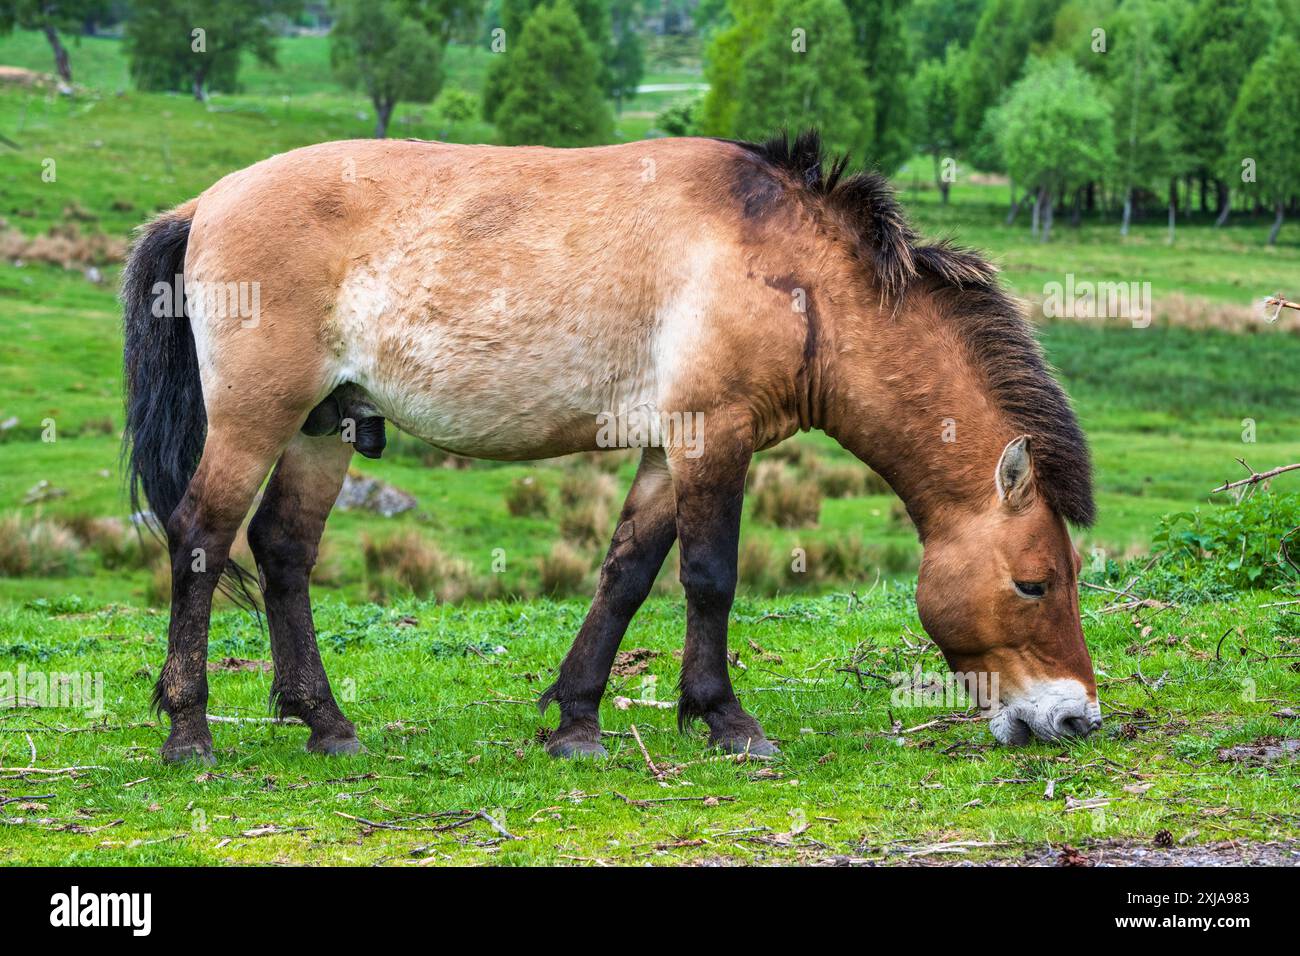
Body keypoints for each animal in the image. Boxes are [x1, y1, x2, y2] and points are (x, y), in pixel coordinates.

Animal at [121, 130, 1100, 764]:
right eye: (1032, 583)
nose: (1076, 718)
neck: (798, 276)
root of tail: (205, 205)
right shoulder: (714, 436)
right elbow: (708, 577)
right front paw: (726, 721)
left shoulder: (670, 449)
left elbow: (627, 573)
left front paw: (577, 721)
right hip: (256, 418)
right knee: (201, 537)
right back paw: (189, 733)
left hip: (324, 427)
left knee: (283, 550)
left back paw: (326, 725)